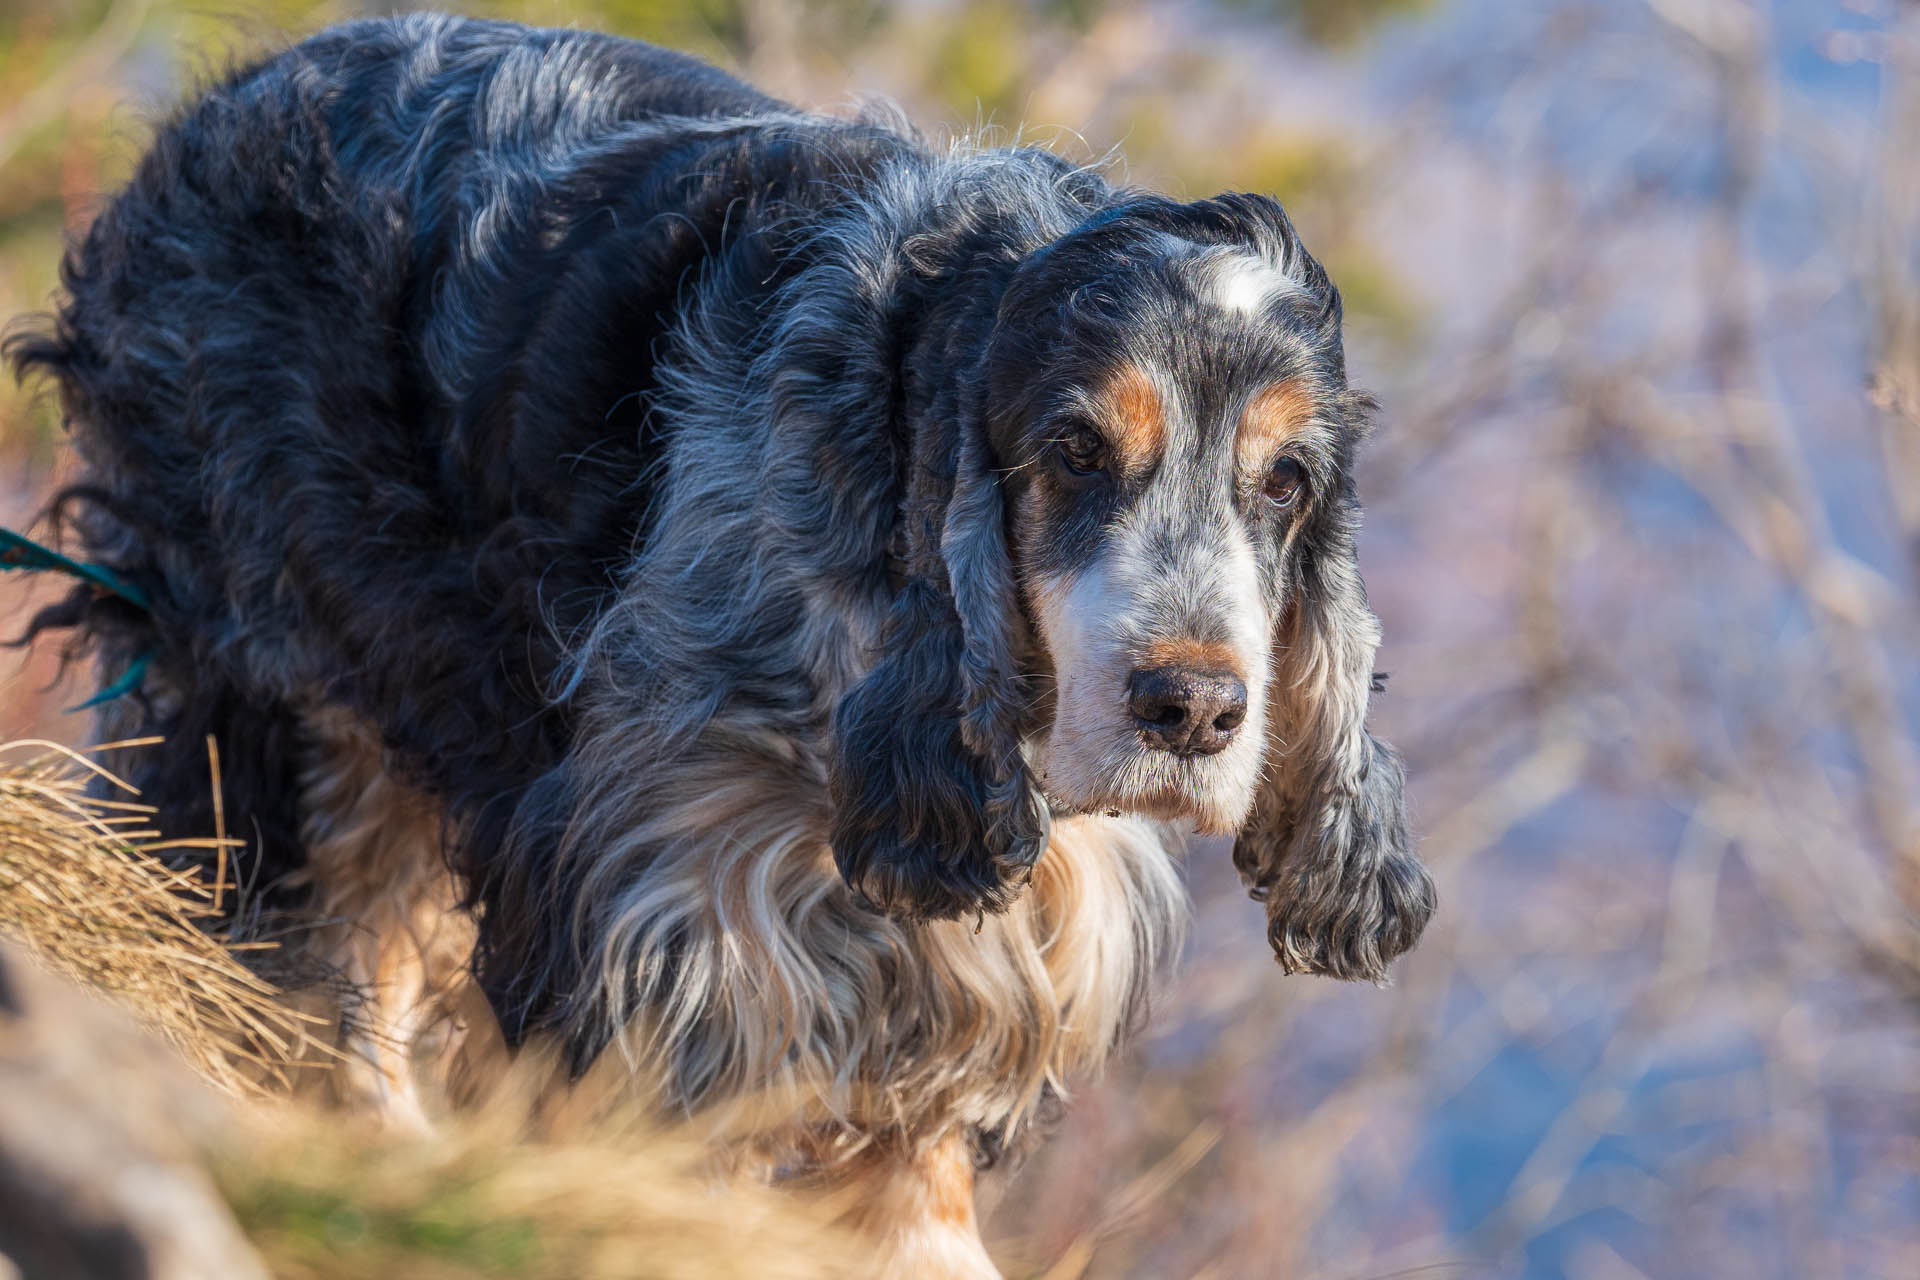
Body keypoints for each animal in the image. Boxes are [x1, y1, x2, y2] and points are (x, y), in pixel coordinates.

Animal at [7, 14, 1436, 1274]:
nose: (1193, 708)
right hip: (280, 671)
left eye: (1288, 482)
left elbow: (920, 1169)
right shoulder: (670, 904)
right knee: (306, 934)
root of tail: (220, 102)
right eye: (1077, 450)